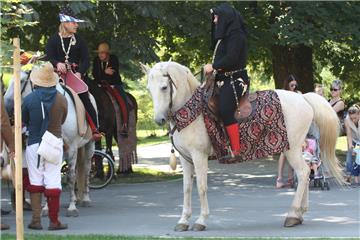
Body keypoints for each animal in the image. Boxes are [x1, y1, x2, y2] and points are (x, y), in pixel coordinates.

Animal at [4, 70, 94, 217]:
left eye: (21, 81)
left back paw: (85, 199)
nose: (6, 107)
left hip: (89, 146)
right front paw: (46, 208)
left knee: (86, 169)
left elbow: (71, 176)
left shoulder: (72, 148)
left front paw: (72, 208)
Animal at [140, 62, 344, 232]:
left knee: (302, 173)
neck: (192, 112)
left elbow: (201, 187)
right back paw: (300, 213)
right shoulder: (186, 158)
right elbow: (187, 189)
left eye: (164, 87)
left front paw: (201, 220)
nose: (159, 120)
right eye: (149, 89)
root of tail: (304, 99)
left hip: (291, 148)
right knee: (307, 171)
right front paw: (183, 220)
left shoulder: (199, 156)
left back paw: (292, 214)